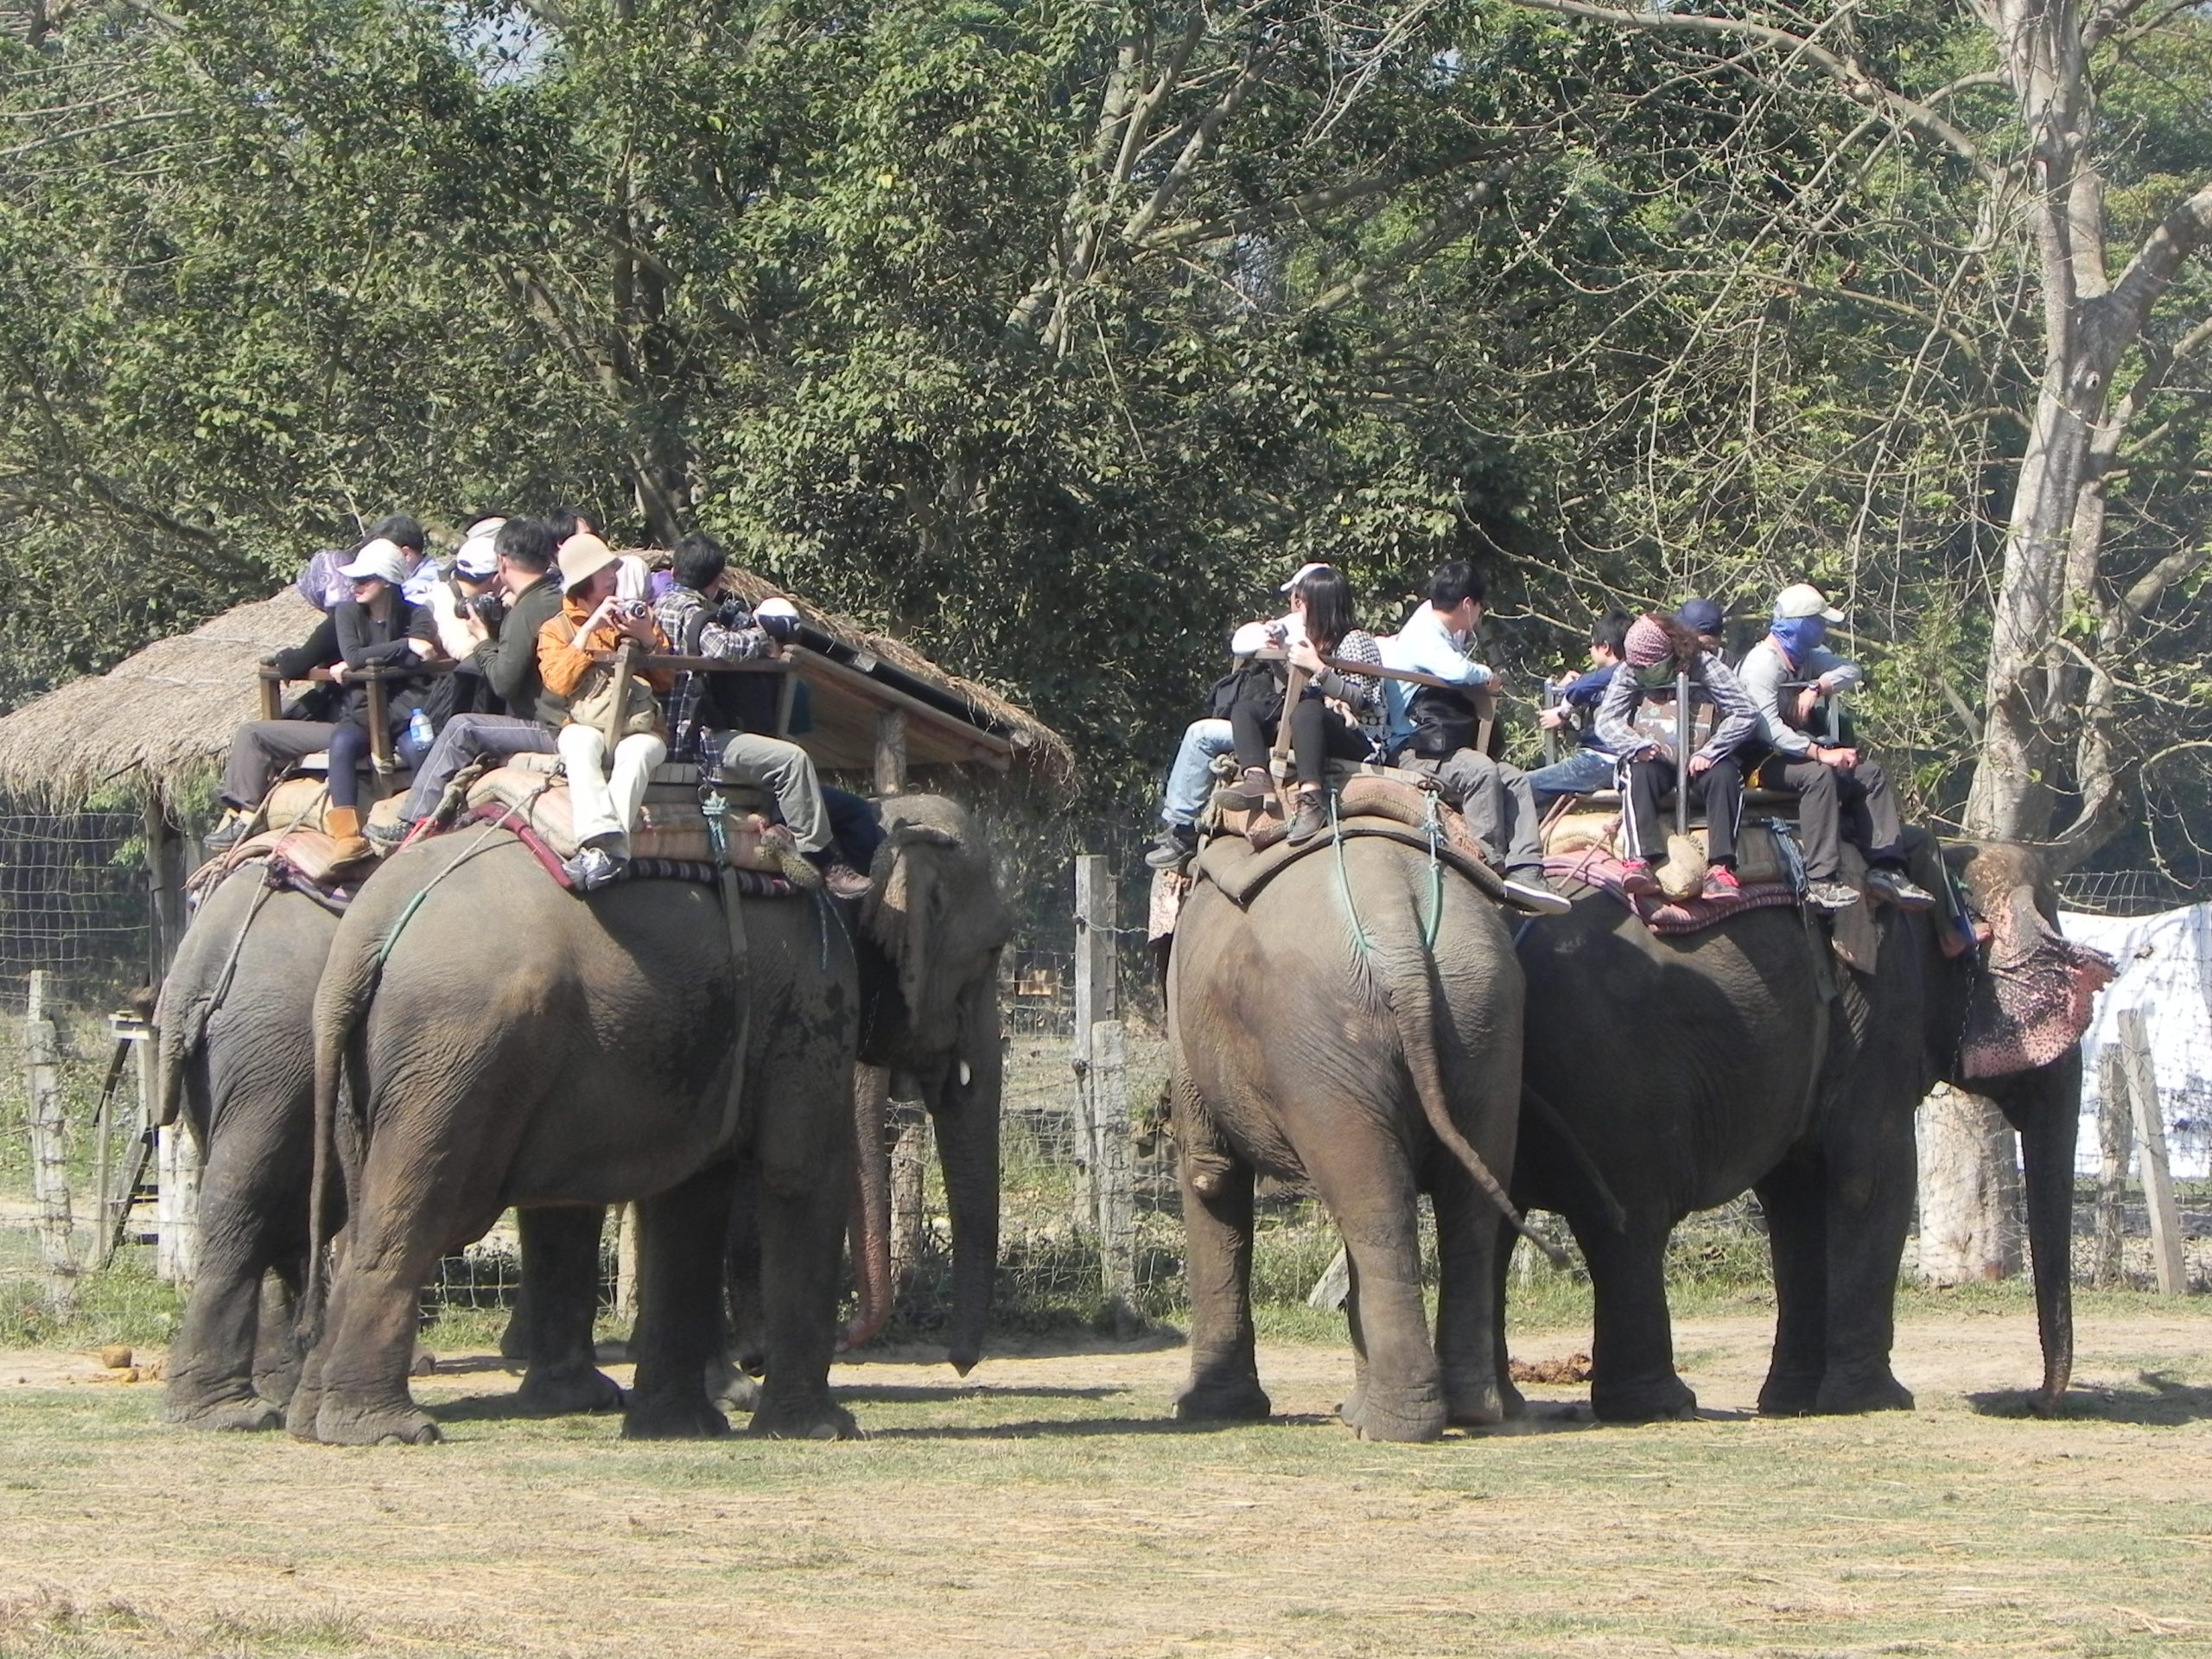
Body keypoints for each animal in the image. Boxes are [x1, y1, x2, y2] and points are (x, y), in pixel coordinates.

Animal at [154, 863, 619, 1431]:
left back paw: (266, 1398)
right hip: (275, 1059)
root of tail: (196, 961)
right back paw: (249, 1408)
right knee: (257, 1202)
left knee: (256, 1207)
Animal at [291, 792, 1005, 1446]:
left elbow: (690, 1198)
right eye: (990, 957)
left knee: (362, 1214)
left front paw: (679, 1428)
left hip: (374, 1070)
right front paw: (823, 1429)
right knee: (412, 1216)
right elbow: (798, 1173)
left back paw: (313, 1420)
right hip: (457, 1055)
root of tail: (366, 929)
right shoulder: (813, 991)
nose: (961, 1365)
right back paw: (386, 1431)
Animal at [1166, 835, 1542, 1442]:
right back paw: (1460, 1412)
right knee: (1461, 1211)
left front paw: (1204, 1410)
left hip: (1320, 1036)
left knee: (1376, 1209)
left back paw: (1393, 1426)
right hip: (1485, 1018)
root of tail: (1396, 917)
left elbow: (1209, 1175)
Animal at [1505, 840, 2111, 1423]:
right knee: (1629, 1224)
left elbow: (1797, 1196)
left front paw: (1793, 1401)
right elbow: (1876, 1179)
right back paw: (1665, 1407)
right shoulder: (1882, 1018)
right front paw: (1878, 1401)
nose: (2038, 1402)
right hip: (1618, 1075)